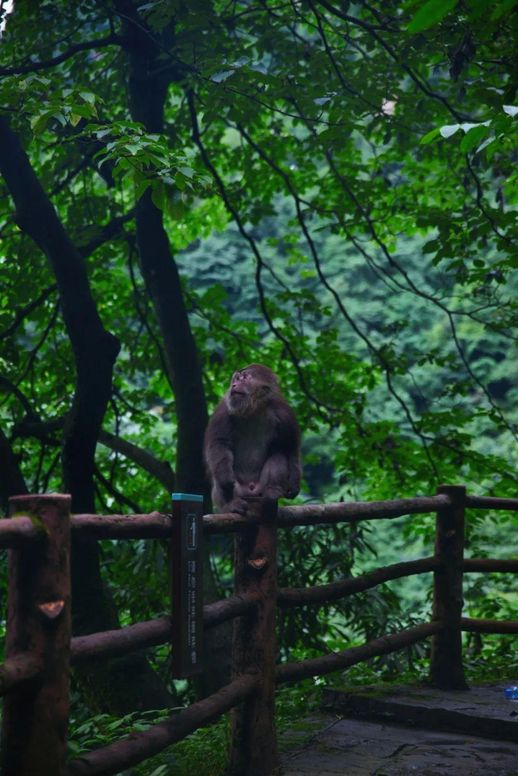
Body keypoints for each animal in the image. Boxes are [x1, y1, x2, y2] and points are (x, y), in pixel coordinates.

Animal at [205, 366, 302, 516]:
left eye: (244, 378)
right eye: (236, 378)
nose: (234, 385)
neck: (254, 408)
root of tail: (251, 490)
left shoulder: (284, 412)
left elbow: (289, 446)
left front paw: (294, 484)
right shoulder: (224, 409)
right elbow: (219, 443)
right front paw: (225, 477)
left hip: (259, 489)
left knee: (278, 455)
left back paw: (272, 493)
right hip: (239, 490)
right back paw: (230, 505)